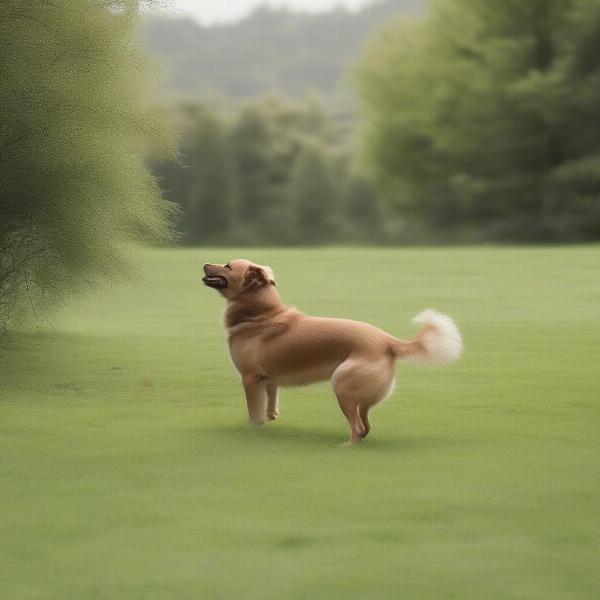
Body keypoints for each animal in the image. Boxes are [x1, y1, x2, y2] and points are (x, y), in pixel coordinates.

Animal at [204, 260, 462, 442]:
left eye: (227, 265)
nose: (204, 264)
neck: (261, 315)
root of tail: (388, 341)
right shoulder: (268, 380)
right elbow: (270, 403)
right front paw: (271, 418)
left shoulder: (249, 379)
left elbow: (253, 411)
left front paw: (252, 429)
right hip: (363, 398)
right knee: (366, 425)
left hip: (342, 385)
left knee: (357, 428)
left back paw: (344, 447)